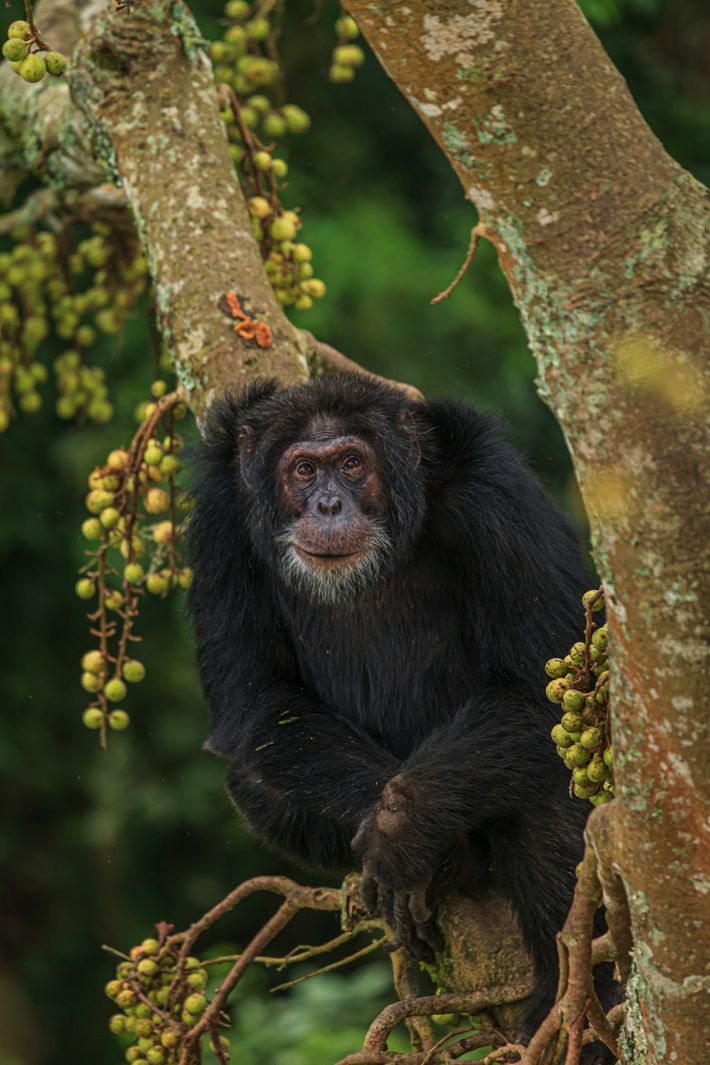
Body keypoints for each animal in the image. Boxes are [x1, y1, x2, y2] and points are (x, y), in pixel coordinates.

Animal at [190, 374, 613, 1039]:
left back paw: (571, 1009)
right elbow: (253, 695)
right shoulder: (219, 518)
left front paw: (400, 828)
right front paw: (404, 840)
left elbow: (539, 674)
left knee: (546, 789)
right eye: (304, 469)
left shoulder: (496, 494)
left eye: (352, 464)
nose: (328, 505)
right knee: (255, 776)